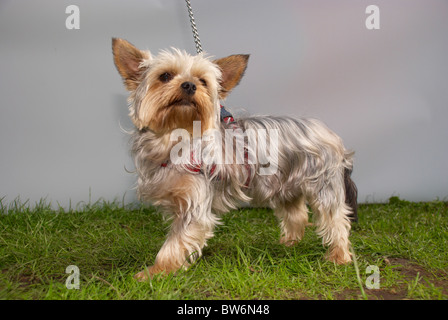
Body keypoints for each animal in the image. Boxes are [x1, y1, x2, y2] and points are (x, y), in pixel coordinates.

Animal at [114, 38, 358, 282]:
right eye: (165, 76)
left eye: (203, 81)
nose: (189, 85)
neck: (174, 136)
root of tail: (332, 137)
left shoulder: (196, 204)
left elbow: (175, 242)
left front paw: (155, 272)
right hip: (286, 184)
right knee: (297, 214)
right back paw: (289, 243)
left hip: (324, 185)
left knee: (336, 219)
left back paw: (339, 256)